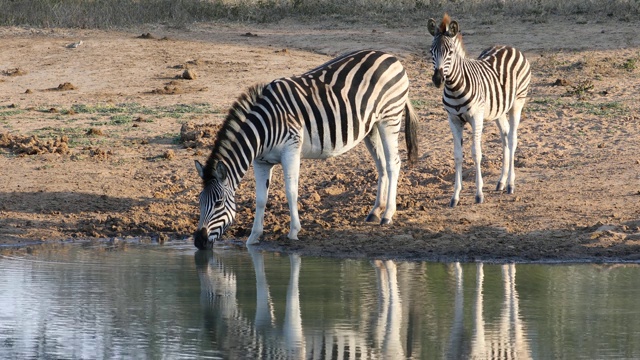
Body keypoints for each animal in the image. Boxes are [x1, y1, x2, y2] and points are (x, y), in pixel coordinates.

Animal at [192, 49, 418, 249]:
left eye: (219, 203)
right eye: (200, 201)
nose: (198, 242)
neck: (262, 130)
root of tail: (390, 56)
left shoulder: (291, 149)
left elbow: (291, 191)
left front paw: (293, 231)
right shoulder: (261, 161)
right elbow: (261, 199)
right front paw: (254, 236)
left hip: (390, 118)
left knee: (393, 163)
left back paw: (387, 214)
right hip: (371, 127)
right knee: (381, 165)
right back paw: (375, 212)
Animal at [430, 14, 528, 207]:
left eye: (450, 53)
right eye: (431, 52)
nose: (438, 79)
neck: (455, 87)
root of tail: (510, 47)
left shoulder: (476, 117)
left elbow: (476, 154)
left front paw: (479, 194)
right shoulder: (453, 119)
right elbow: (457, 155)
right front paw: (455, 196)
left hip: (517, 102)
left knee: (512, 139)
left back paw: (510, 184)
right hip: (498, 110)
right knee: (505, 136)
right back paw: (501, 182)